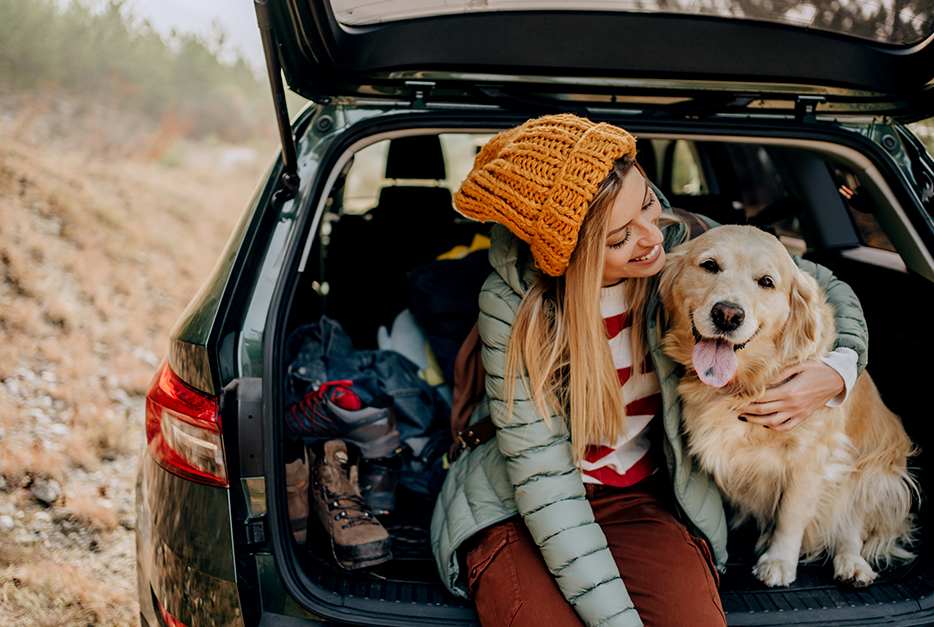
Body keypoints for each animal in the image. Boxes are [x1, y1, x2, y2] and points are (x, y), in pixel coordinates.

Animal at [660, 226, 916, 588]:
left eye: (766, 282)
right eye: (709, 265)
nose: (728, 314)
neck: (747, 382)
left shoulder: (813, 458)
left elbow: (791, 515)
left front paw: (779, 561)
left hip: (871, 474)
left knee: (850, 526)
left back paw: (852, 565)